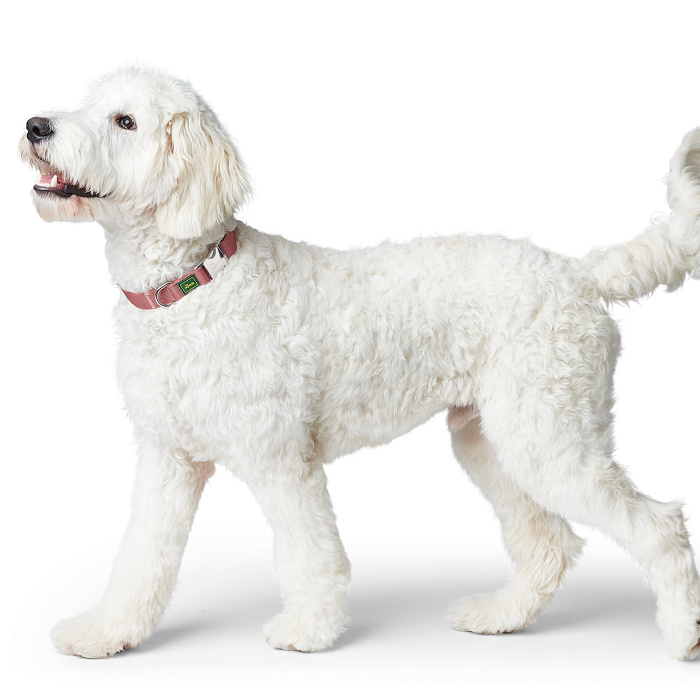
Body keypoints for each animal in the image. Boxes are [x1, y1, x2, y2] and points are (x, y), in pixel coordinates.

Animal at [20, 66, 700, 660]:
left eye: (125, 121)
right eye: (88, 104)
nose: (34, 125)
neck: (196, 283)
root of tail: (580, 273)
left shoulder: (281, 458)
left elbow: (310, 554)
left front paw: (308, 631)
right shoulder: (168, 458)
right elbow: (141, 555)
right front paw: (106, 632)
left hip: (551, 436)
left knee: (660, 525)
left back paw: (682, 636)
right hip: (493, 439)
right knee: (549, 543)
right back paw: (499, 617)